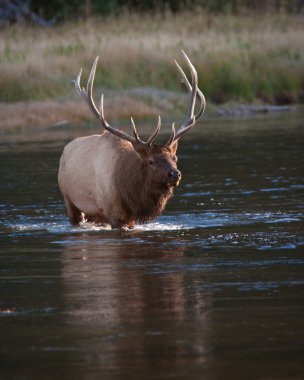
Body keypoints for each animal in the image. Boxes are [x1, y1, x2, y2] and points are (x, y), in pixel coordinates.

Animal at [58, 51, 205, 229]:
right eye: (150, 161)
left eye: (175, 157)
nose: (174, 174)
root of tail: (65, 150)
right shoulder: (114, 215)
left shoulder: (131, 220)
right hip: (69, 200)